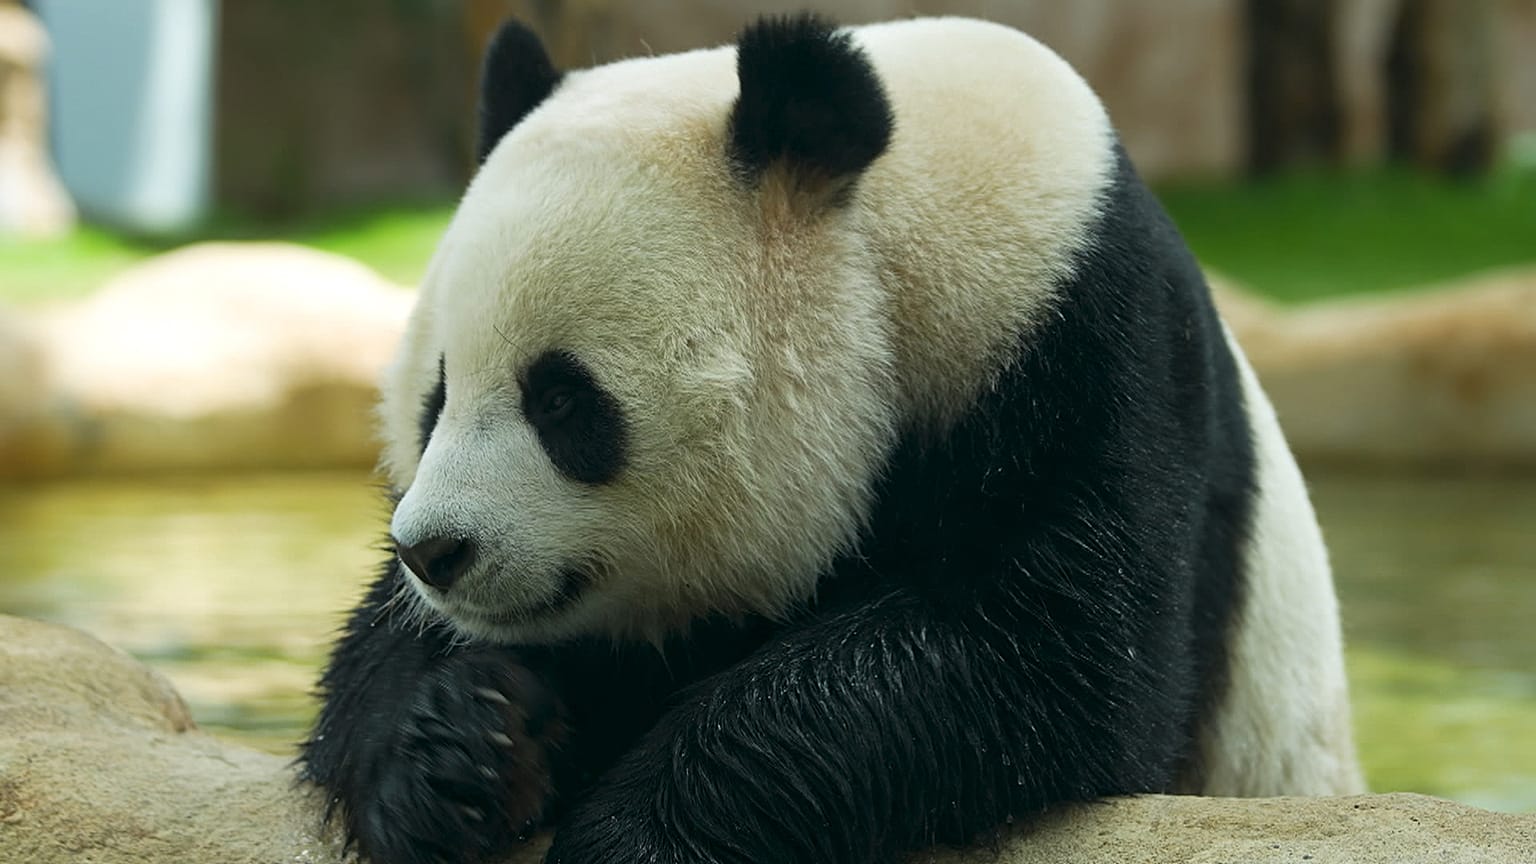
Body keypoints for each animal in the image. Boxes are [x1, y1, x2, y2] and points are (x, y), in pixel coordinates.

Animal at [299, 13, 1365, 864]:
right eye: (435, 397)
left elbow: (1045, 659)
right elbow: (393, 645)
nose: (436, 551)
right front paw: (458, 756)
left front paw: (632, 837)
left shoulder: (1085, 351)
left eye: (561, 401)